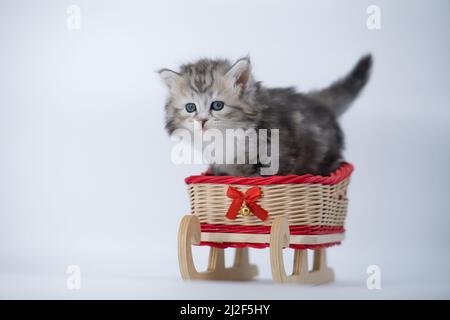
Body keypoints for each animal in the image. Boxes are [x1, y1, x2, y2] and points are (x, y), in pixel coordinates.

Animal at [160, 54, 370, 175]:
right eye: (190, 108)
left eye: (217, 105)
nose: (202, 121)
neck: (226, 136)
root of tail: (317, 101)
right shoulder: (220, 165)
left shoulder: (277, 157)